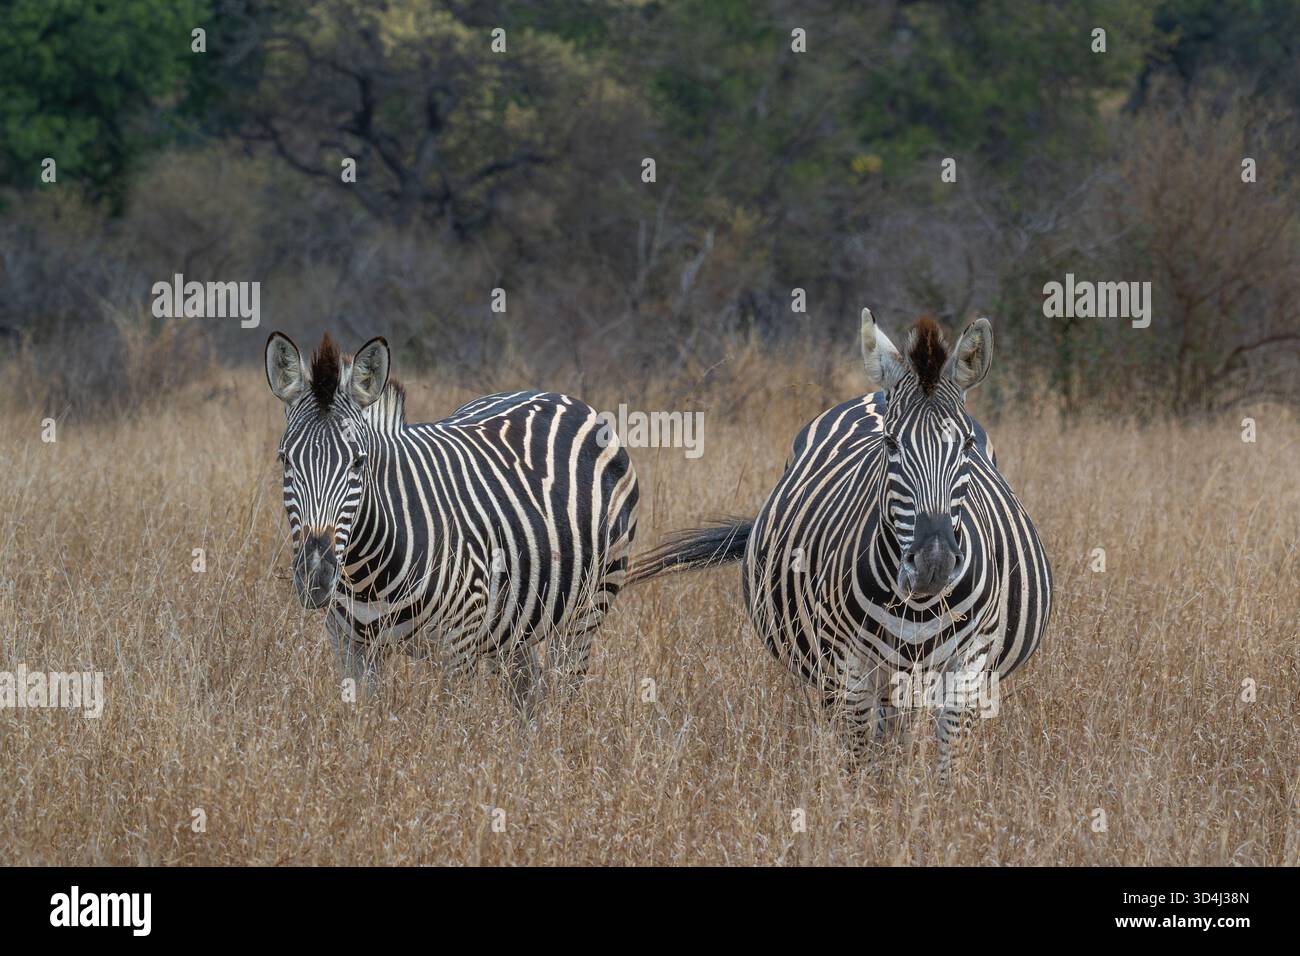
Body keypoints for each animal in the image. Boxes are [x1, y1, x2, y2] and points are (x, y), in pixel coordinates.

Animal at [264, 332, 639, 706]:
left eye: (358, 461)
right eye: (285, 460)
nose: (316, 577)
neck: (367, 577)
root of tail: (564, 398)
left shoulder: (458, 648)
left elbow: (450, 719)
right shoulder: (349, 647)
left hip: (590, 605)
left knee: (565, 686)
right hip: (518, 621)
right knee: (526, 692)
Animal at [629, 310, 1052, 781]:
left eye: (967, 444)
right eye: (890, 443)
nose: (934, 563)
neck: (921, 604)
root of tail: (871, 392)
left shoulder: (970, 664)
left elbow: (949, 764)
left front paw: (939, 801)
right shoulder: (848, 665)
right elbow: (859, 763)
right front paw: (865, 802)